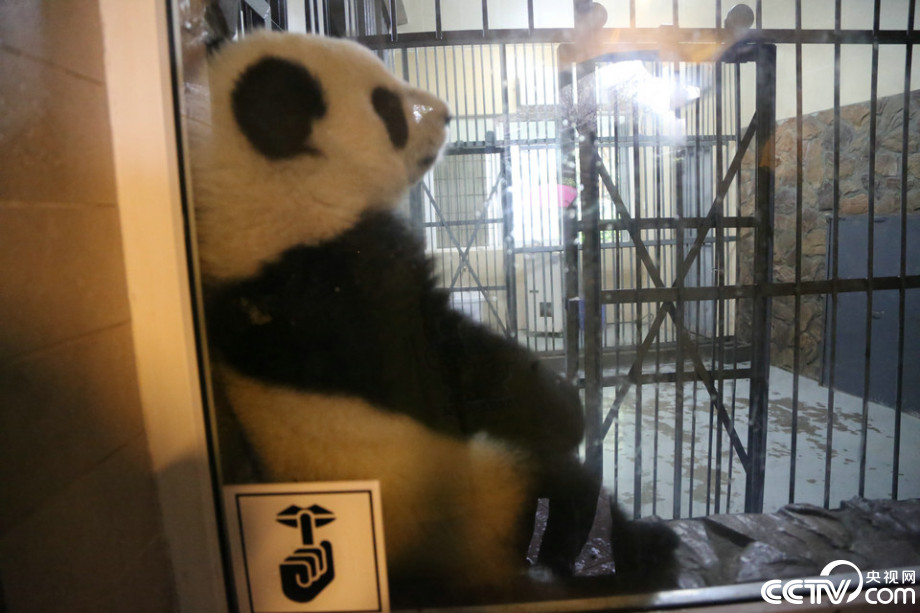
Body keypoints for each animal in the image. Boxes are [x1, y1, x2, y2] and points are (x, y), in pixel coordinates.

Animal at [194, 31, 676, 604]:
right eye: (385, 105)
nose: (446, 115)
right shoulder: (341, 294)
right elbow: (459, 372)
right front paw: (567, 409)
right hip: (485, 491)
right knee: (567, 497)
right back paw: (639, 551)